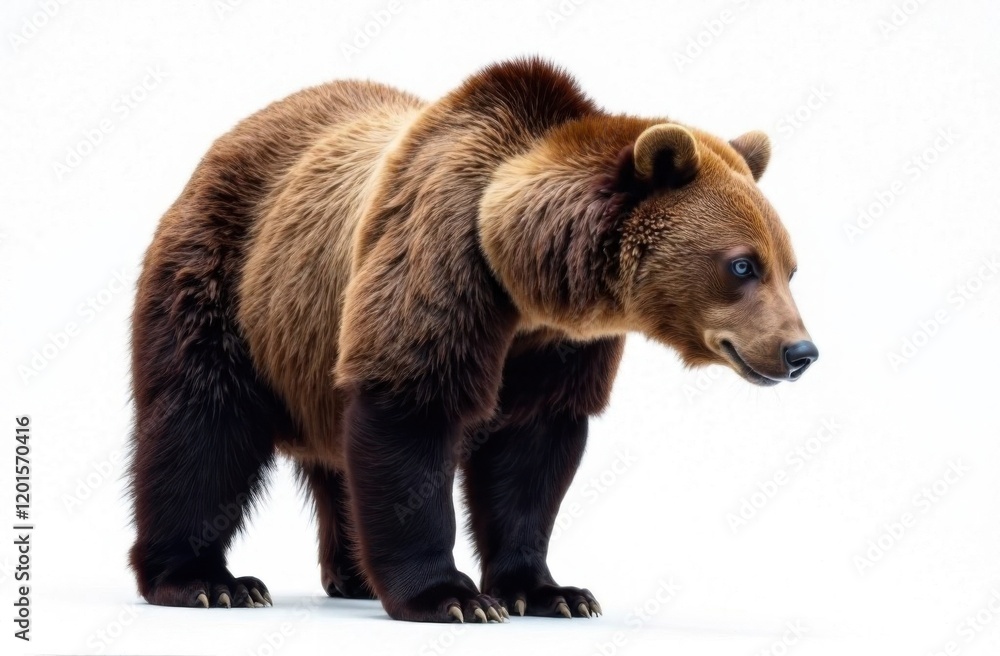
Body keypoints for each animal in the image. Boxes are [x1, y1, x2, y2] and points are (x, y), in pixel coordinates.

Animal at [127, 57, 817, 623]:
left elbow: (531, 460)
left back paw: (352, 575)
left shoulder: (554, 352)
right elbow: (410, 416)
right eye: (742, 265)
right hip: (228, 279)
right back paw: (206, 580)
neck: (524, 279)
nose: (800, 352)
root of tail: (231, 136)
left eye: (790, 267)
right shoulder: (440, 264)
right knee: (201, 423)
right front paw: (450, 597)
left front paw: (551, 592)